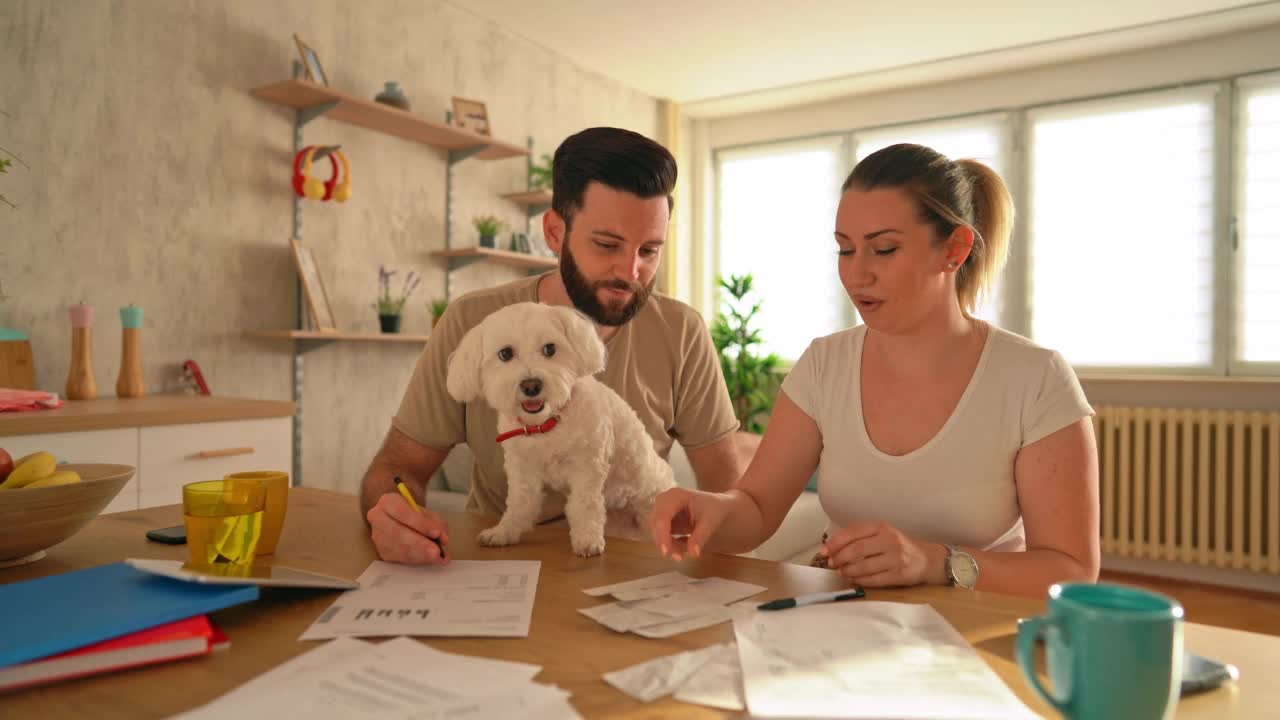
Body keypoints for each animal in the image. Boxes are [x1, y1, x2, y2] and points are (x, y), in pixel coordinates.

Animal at [445, 299, 675, 550]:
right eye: (505, 353)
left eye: (550, 349)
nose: (531, 385)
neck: (546, 425)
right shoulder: (522, 470)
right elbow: (519, 503)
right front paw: (505, 531)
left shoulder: (588, 467)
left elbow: (584, 504)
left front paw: (587, 538)